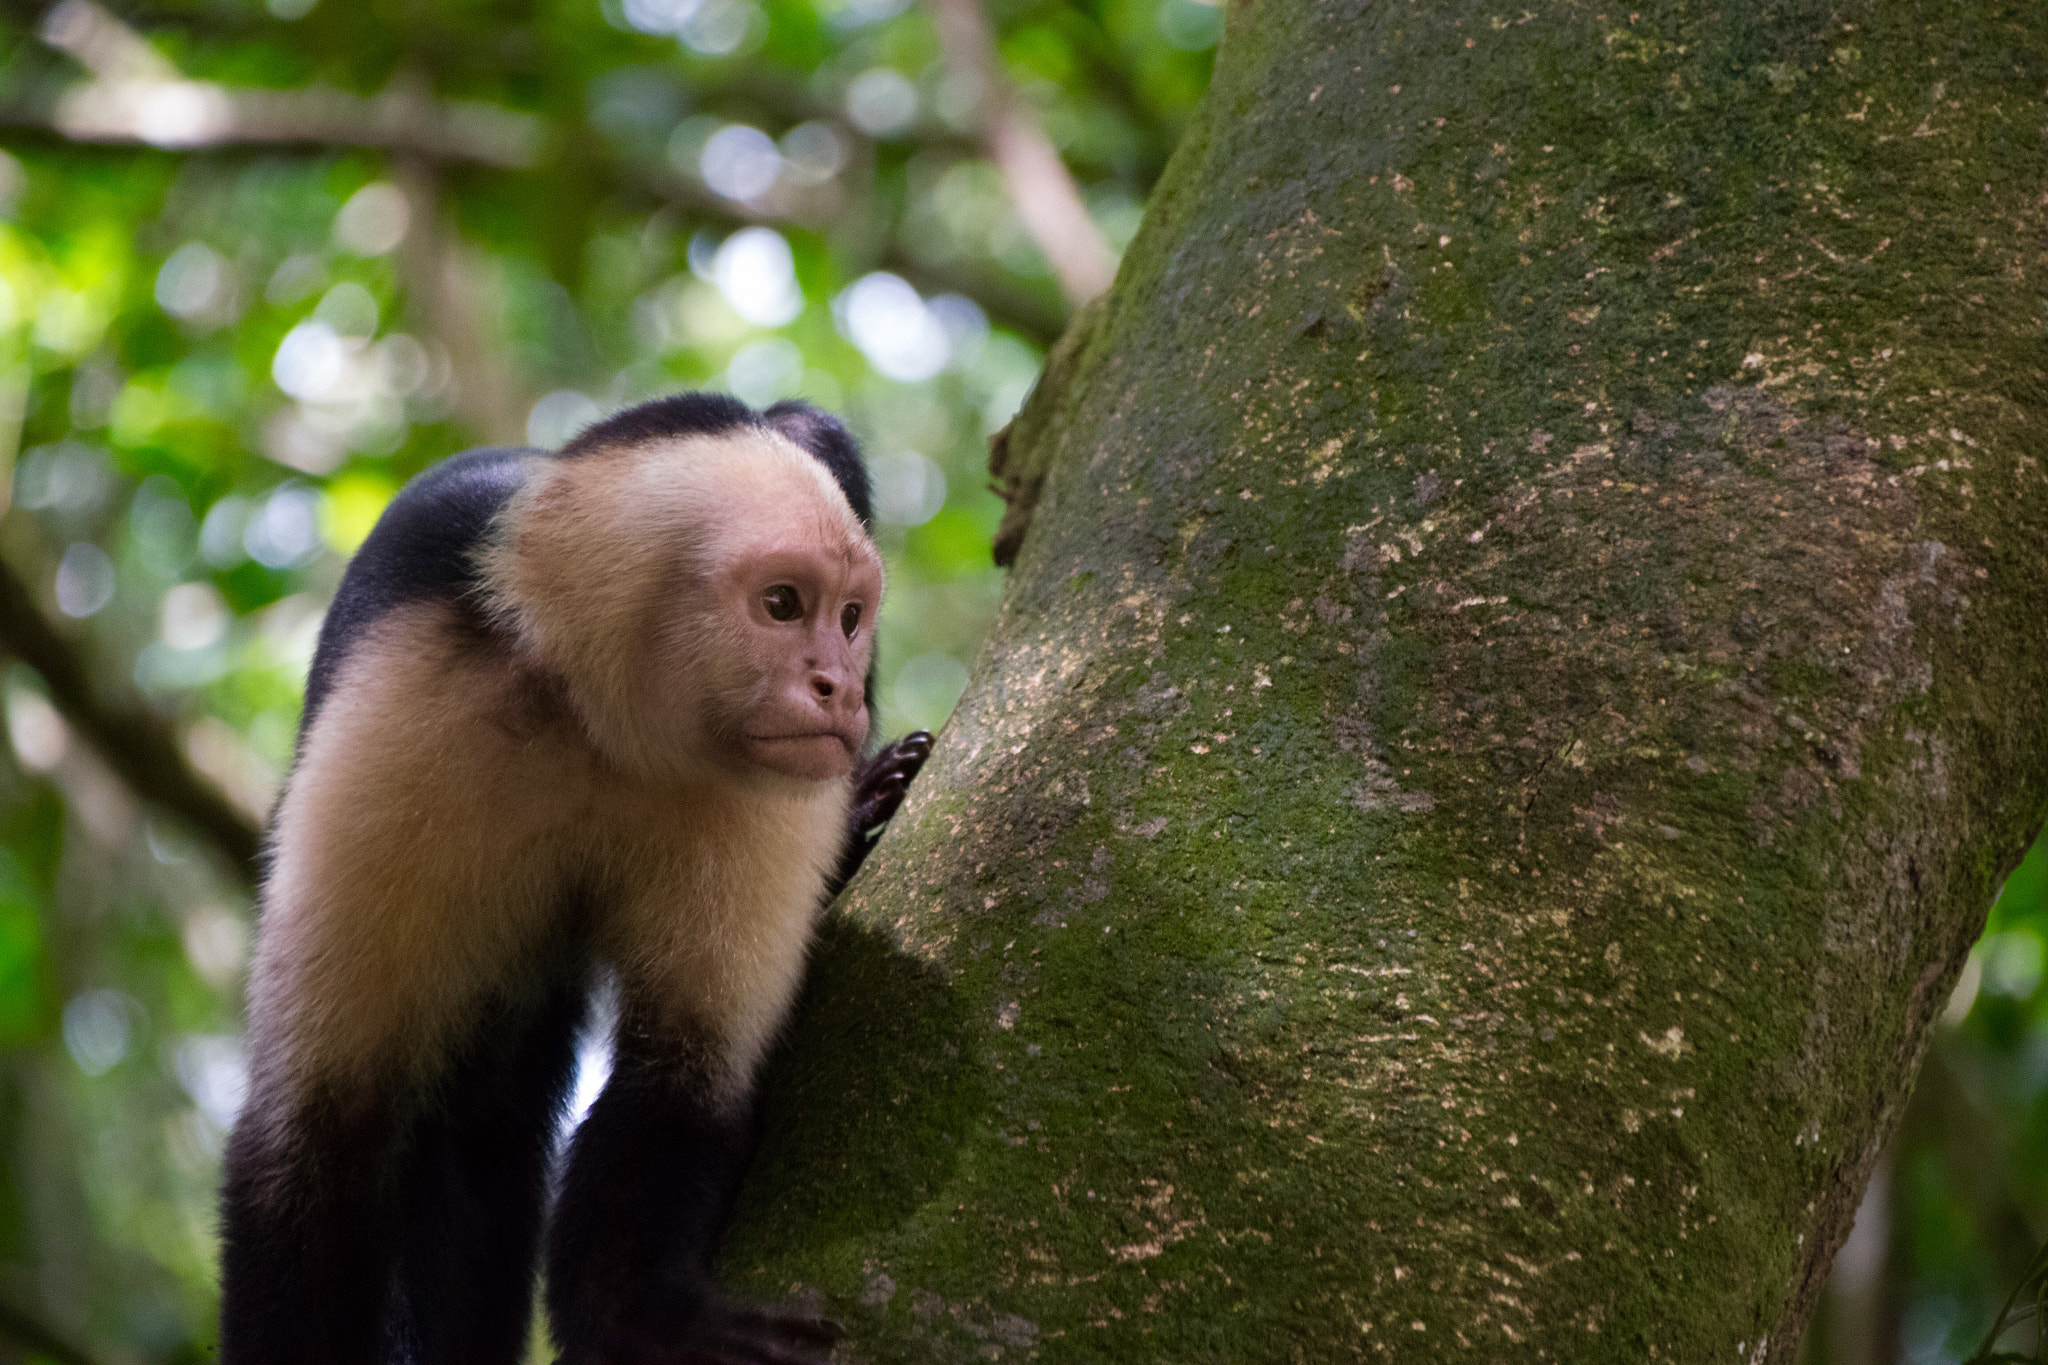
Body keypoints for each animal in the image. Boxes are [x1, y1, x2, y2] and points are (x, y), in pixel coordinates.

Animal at [217, 393, 933, 1365]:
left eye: (852, 617)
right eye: (783, 605)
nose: (839, 687)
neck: (594, 727)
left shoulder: (761, 790)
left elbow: (685, 1070)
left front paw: (645, 1313)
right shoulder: (398, 726)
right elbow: (317, 1130)